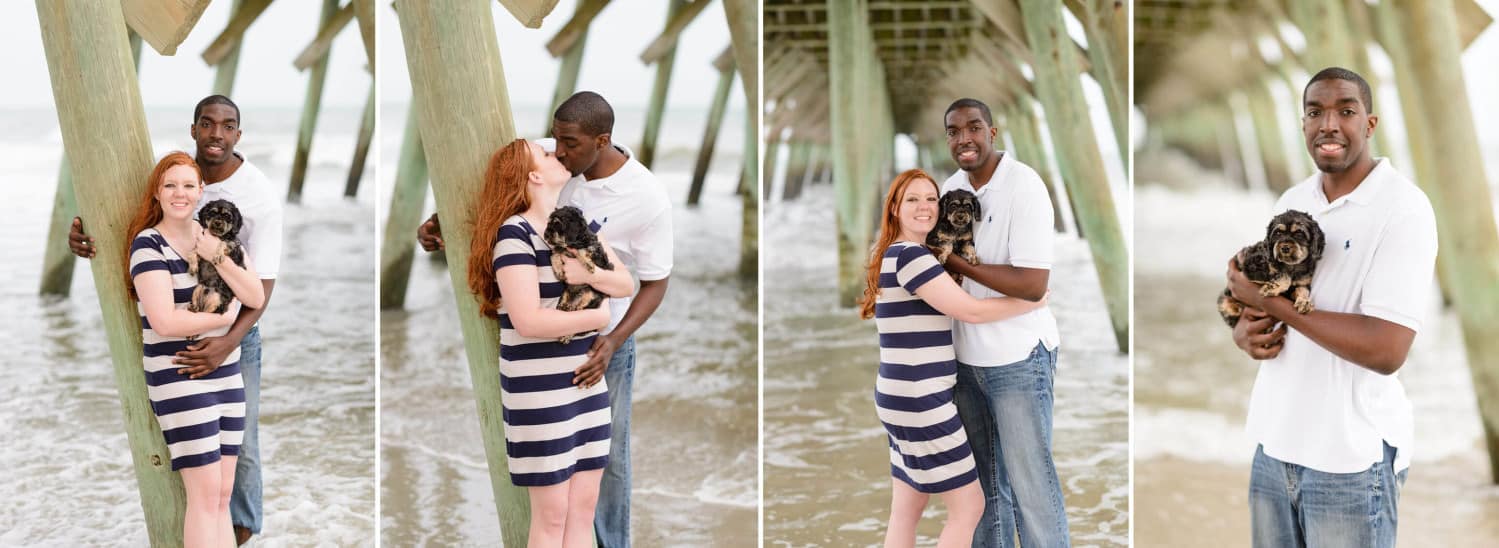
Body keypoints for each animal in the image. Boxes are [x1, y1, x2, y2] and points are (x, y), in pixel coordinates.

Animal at [545, 203, 614, 344]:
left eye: (557, 224)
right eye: (548, 223)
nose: (546, 235)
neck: (573, 243)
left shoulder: (593, 248)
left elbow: (583, 251)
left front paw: (589, 266)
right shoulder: (560, 249)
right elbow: (554, 255)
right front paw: (559, 271)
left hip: (592, 294)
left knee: (580, 311)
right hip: (567, 291)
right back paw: (564, 305)